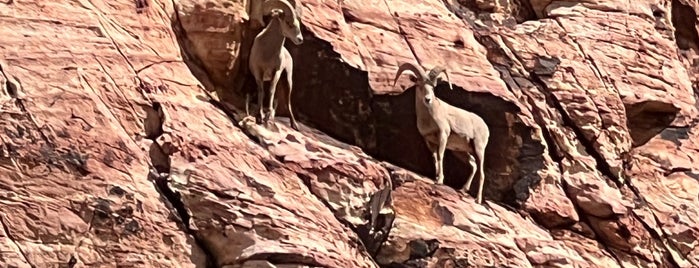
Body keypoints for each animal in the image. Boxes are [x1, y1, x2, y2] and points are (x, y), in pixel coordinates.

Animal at [247, 0, 302, 130]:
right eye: (288, 23)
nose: (300, 39)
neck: (268, 52)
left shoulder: (275, 72)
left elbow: (271, 90)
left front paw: (267, 115)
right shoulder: (258, 72)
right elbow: (261, 91)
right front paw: (259, 116)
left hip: (287, 81)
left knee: (287, 102)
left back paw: (294, 125)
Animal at [394, 62, 492, 204]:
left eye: (433, 87)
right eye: (419, 85)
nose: (428, 99)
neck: (428, 117)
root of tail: (485, 127)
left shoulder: (443, 136)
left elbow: (440, 156)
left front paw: (440, 180)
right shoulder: (429, 141)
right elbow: (435, 158)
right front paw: (435, 177)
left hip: (479, 149)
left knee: (481, 172)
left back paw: (478, 200)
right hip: (461, 151)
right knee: (473, 165)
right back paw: (463, 189)